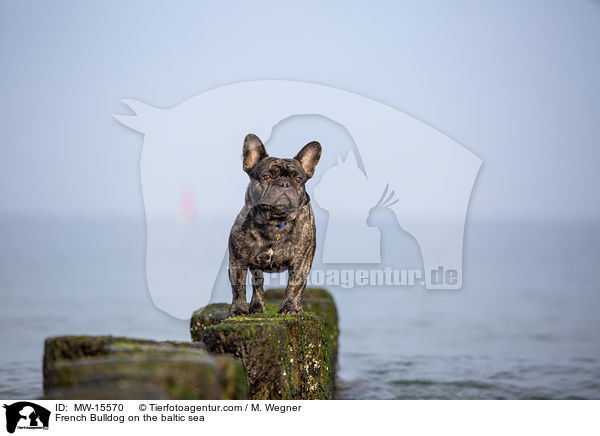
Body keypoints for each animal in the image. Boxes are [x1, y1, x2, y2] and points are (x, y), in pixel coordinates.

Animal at [227, 135, 322, 316]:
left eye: (298, 179)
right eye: (266, 177)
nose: (284, 183)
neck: (274, 222)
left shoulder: (301, 261)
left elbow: (295, 285)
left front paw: (290, 307)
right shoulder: (238, 260)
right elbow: (238, 287)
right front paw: (238, 309)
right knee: (257, 283)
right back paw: (257, 307)